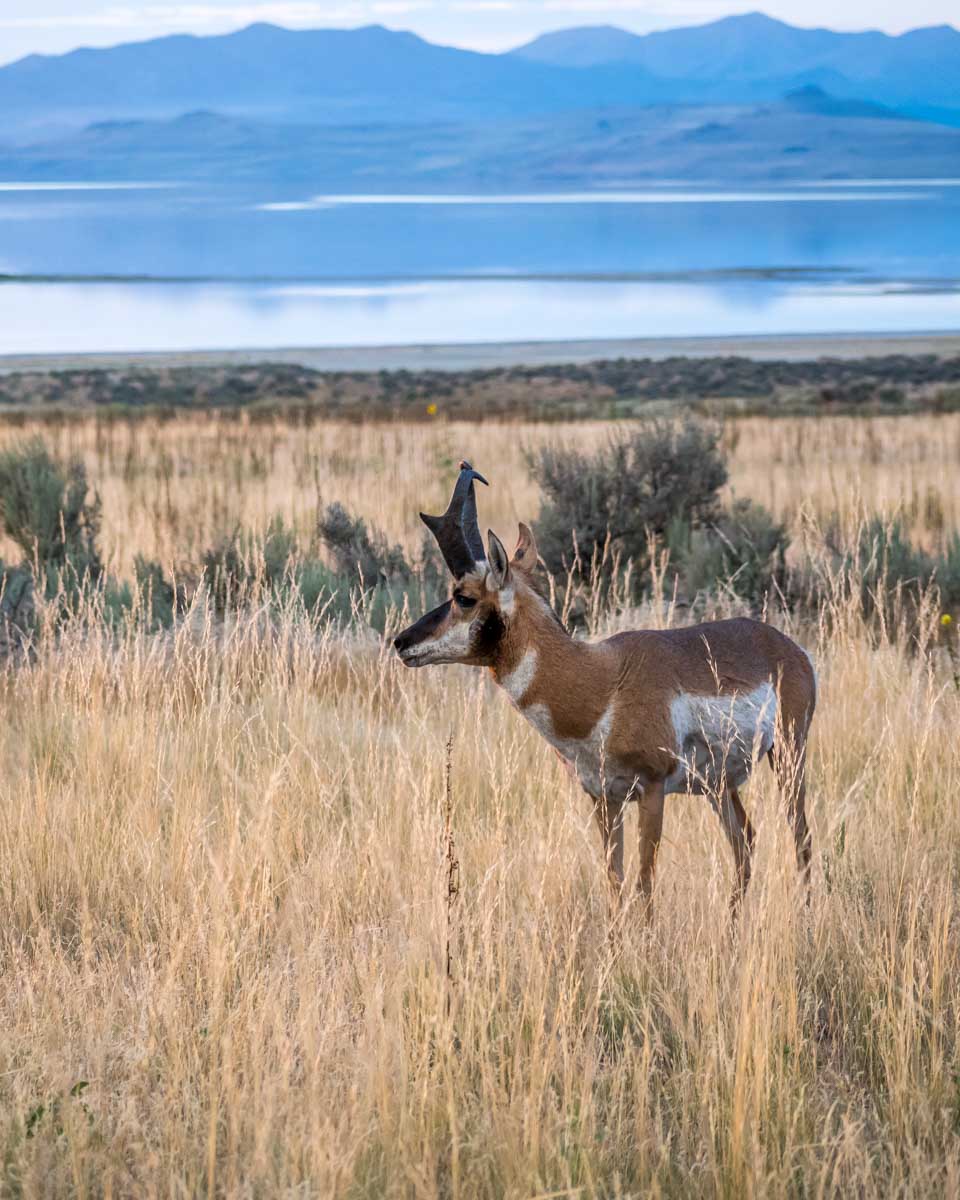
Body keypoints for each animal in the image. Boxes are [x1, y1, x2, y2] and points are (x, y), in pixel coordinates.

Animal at [393, 463, 816, 912]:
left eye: (464, 597)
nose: (401, 642)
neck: (601, 682)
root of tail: (788, 647)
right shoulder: (604, 799)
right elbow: (614, 884)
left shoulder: (651, 790)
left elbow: (644, 889)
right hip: (719, 785)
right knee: (745, 842)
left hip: (787, 757)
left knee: (801, 837)